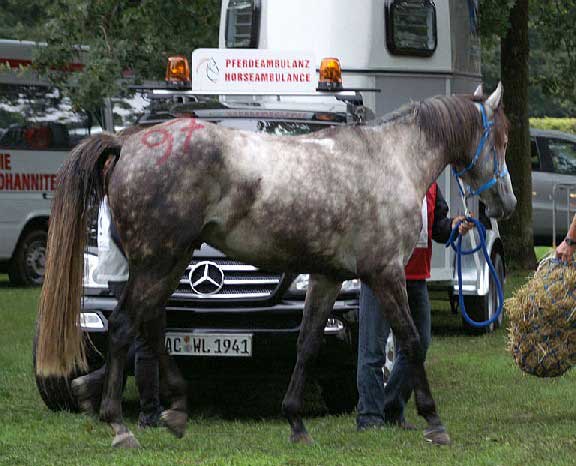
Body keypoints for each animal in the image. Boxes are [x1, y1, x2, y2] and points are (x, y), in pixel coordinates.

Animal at [35, 83, 515, 448]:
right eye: (503, 140)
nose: (505, 203)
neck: (390, 161)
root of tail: (128, 142)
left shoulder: (327, 277)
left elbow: (307, 344)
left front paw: (296, 422)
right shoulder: (385, 275)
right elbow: (413, 342)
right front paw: (434, 422)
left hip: (169, 262)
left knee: (149, 328)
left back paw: (173, 411)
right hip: (159, 263)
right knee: (122, 327)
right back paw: (120, 426)